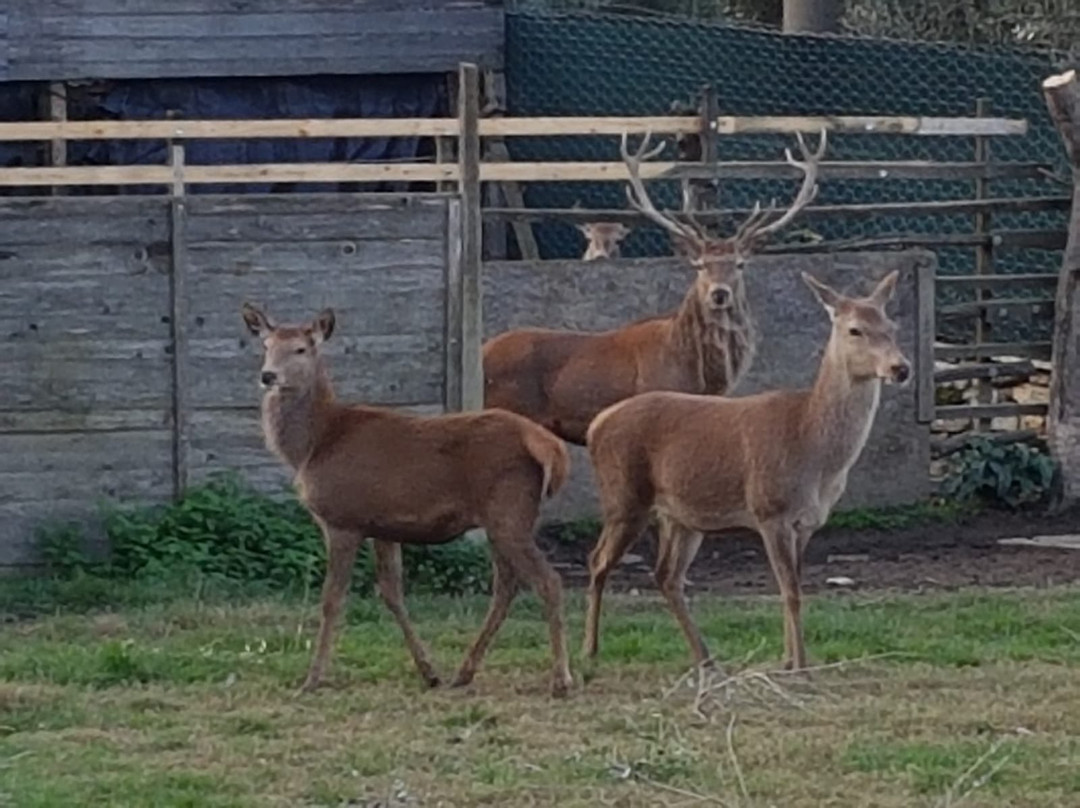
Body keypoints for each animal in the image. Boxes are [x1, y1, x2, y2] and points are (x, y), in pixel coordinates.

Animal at [241, 302, 578, 695]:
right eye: (266, 345)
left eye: (300, 349)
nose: (268, 376)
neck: (313, 445)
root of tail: (551, 447)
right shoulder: (382, 527)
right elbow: (392, 593)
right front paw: (429, 672)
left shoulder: (342, 519)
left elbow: (331, 599)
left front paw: (312, 678)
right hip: (504, 517)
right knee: (507, 584)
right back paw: (464, 672)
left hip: (509, 510)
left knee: (548, 581)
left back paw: (561, 678)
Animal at [583, 267, 911, 674]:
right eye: (855, 329)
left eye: (892, 326)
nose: (900, 368)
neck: (815, 455)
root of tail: (596, 426)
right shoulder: (769, 510)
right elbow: (791, 591)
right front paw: (800, 664)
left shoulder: (807, 522)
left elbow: (792, 587)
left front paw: (787, 658)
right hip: (623, 497)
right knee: (598, 561)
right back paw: (590, 650)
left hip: (682, 516)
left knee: (667, 575)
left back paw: (705, 656)